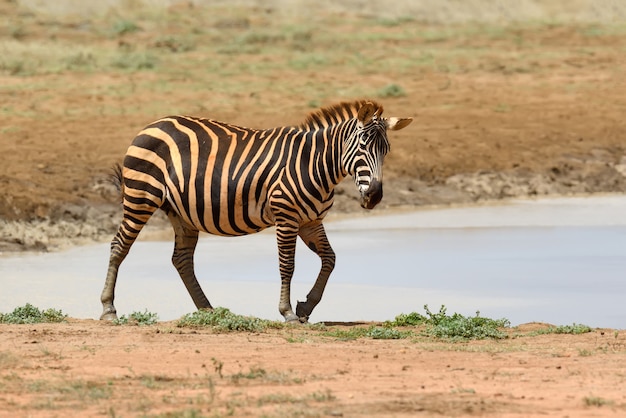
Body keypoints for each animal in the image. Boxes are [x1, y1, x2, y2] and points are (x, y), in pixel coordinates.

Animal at [100, 101, 412, 324]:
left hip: (181, 212)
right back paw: (108, 309)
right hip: (141, 197)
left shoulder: (310, 221)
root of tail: (153, 124)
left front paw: (306, 306)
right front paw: (288, 312)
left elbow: (330, 259)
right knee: (118, 247)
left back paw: (208, 310)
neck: (315, 164)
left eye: (386, 150)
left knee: (182, 259)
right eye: (362, 147)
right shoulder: (286, 216)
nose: (374, 197)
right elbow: (288, 265)